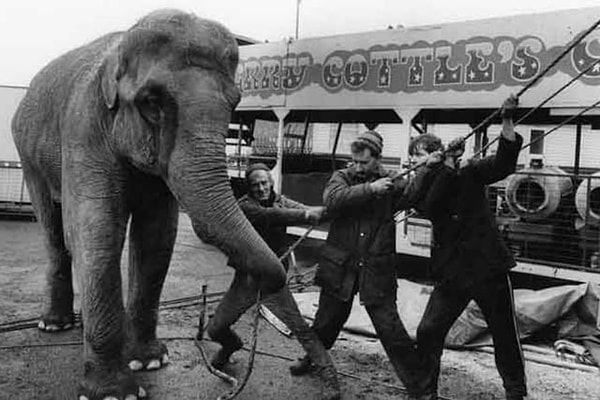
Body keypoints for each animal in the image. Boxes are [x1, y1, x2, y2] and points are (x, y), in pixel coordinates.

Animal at [11, 8, 288, 400]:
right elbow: (96, 233)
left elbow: (158, 238)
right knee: (53, 230)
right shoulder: (84, 129)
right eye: (152, 102)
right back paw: (53, 325)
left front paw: (150, 362)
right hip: (29, 155)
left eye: (235, 103)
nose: (229, 348)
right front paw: (114, 393)